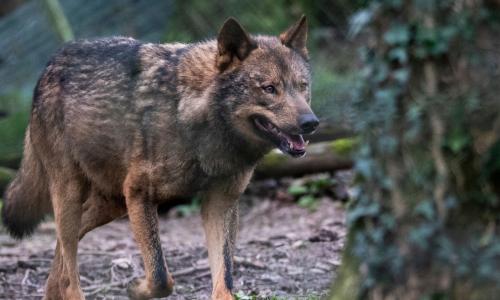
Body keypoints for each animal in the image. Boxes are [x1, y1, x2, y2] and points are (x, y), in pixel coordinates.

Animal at [1, 17, 318, 300]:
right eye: (270, 88)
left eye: (302, 86)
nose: (311, 123)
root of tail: (51, 63)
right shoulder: (139, 194)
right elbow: (161, 276)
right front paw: (135, 289)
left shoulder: (220, 204)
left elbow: (224, 280)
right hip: (72, 194)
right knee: (70, 269)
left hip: (112, 204)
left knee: (63, 251)